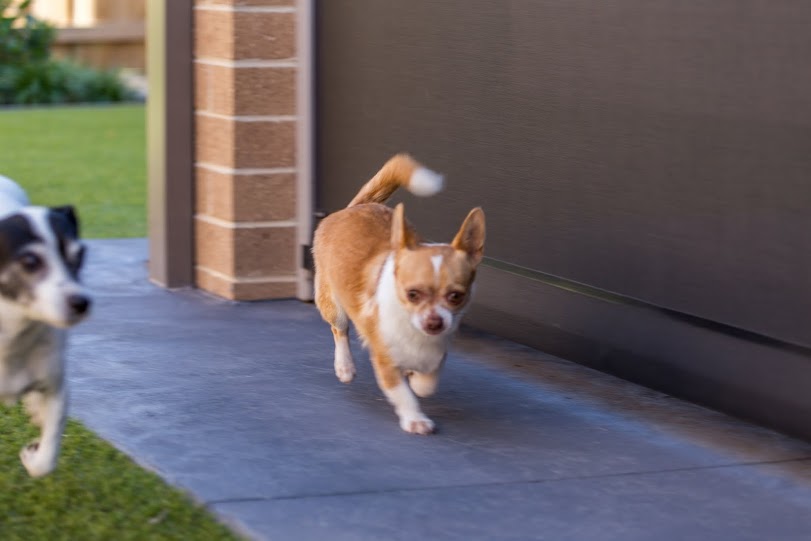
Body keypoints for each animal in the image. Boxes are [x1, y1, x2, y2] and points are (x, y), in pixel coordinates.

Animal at [0, 175, 90, 474]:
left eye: (80, 256)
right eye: (30, 261)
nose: (82, 302)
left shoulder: (57, 389)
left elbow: (46, 460)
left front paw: (33, 455)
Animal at [314, 154, 486, 432]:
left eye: (456, 296)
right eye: (412, 294)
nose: (434, 322)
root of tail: (354, 208)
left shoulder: (437, 351)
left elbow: (426, 383)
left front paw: (417, 380)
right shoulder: (384, 360)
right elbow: (403, 393)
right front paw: (416, 420)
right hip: (332, 304)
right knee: (339, 331)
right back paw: (345, 366)